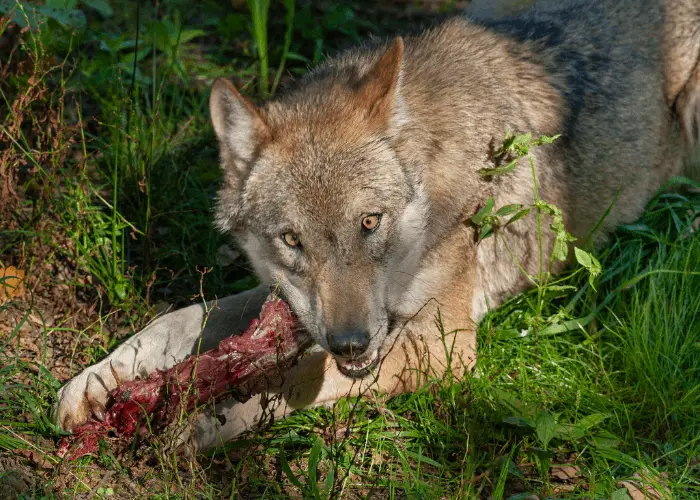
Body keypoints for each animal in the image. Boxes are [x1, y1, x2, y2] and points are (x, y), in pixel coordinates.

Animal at [58, 0, 700, 452]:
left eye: (370, 222)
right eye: (291, 240)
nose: (351, 342)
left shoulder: (446, 347)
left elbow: (300, 378)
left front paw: (202, 419)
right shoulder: (284, 303)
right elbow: (177, 320)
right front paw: (97, 381)